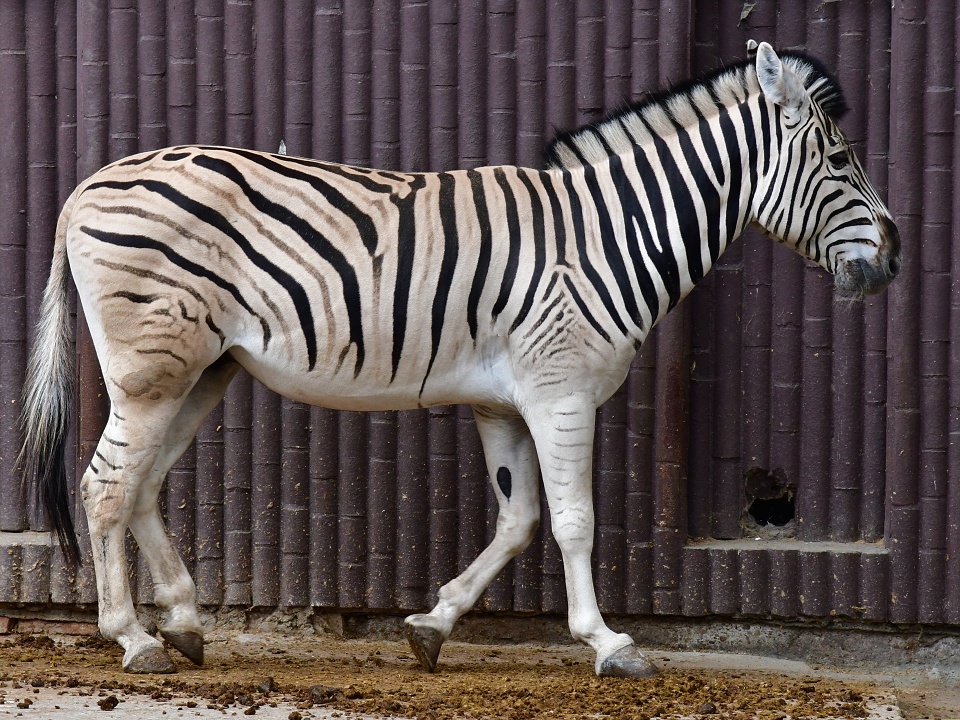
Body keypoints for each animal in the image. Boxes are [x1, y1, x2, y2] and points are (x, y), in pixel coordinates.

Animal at [16, 43, 900, 676]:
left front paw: (432, 626)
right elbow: (572, 521)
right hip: (154, 369)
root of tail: (86, 185)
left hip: (202, 368)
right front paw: (610, 644)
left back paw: (186, 622)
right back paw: (134, 640)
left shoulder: (502, 400)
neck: (607, 236)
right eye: (840, 160)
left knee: (141, 486)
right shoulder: (559, 390)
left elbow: (518, 520)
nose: (893, 258)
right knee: (105, 486)